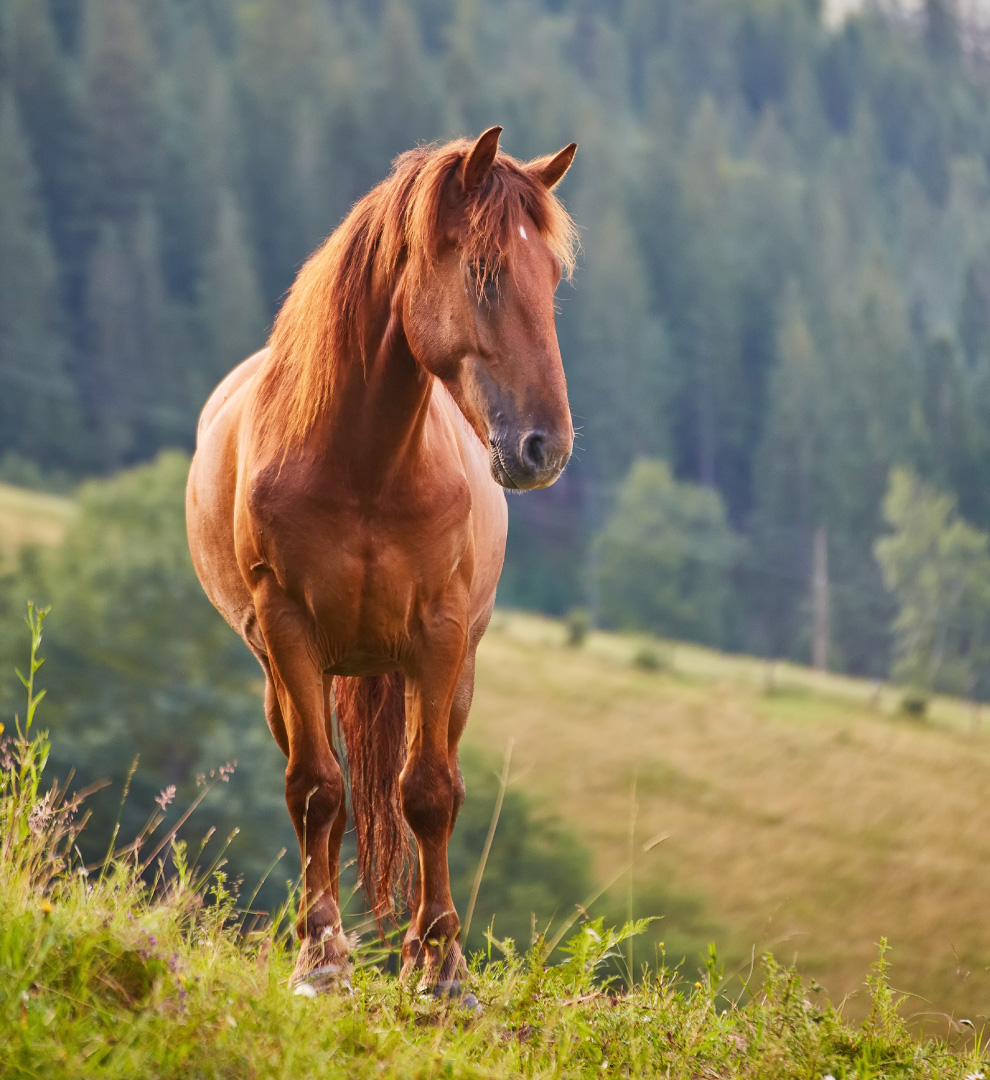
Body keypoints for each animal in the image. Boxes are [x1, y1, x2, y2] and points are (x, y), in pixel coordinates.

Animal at [183, 128, 578, 1002]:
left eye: (554, 280)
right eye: (485, 273)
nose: (547, 448)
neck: (363, 463)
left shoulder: (439, 634)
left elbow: (428, 794)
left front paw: (443, 971)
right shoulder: (290, 632)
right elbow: (316, 789)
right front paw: (321, 958)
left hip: (453, 674)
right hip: (286, 676)